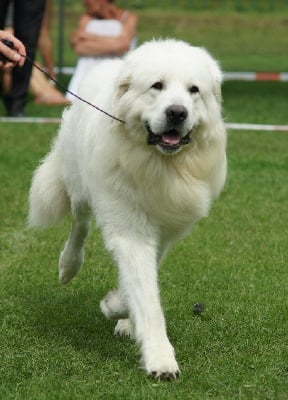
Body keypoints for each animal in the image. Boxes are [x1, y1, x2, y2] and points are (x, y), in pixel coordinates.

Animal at [28, 39, 227, 380]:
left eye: (194, 90)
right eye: (157, 86)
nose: (177, 112)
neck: (159, 166)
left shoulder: (165, 231)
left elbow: (137, 286)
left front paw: (118, 310)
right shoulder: (131, 230)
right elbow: (146, 296)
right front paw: (160, 359)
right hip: (80, 185)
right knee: (80, 226)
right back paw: (68, 265)